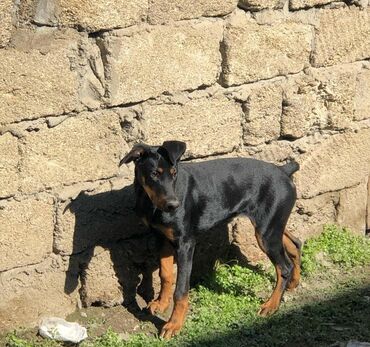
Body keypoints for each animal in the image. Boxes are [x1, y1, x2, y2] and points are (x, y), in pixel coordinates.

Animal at [120, 141, 302, 340]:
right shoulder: (162, 237)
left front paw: (174, 324)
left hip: (266, 233)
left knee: (283, 267)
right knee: (295, 244)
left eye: (174, 173)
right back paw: (293, 283)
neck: (150, 202)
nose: (174, 205)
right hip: (271, 225)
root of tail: (283, 170)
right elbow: (165, 275)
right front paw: (161, 304)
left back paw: (271, 305)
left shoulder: (185, 244)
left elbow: (181, 290)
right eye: (154, 174)